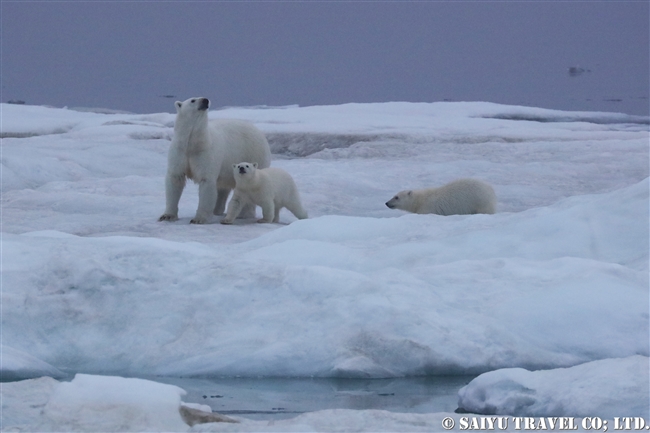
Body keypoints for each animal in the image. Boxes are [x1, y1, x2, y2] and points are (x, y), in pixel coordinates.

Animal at [158, 95, 270, 223]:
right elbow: (175, 178)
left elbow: (206, 181)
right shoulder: (179, 152)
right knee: (223, 188)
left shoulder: (205, 154)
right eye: (193, 100)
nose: (205, 100)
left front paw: (198, 219)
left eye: (203, 98)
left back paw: (243, 214)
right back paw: (218, 211)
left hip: (254, 154)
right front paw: (167, 216)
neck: (192, 144)